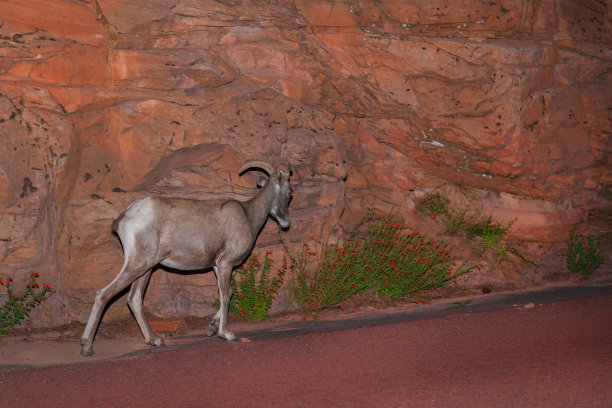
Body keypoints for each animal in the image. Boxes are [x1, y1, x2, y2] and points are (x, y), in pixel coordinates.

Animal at [80, 161, 292, 356]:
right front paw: (226, 334)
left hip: (145, 269)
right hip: (137, 264)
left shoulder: (218, 266)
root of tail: (125, 217)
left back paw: (155, 340)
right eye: (289, 193)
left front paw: (212, 326)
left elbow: (228, 292)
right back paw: (87, 346)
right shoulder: (226, 263)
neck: (248, 215)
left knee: (134, 299)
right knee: (104, 294)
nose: (286, 222)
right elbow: (225, 295)